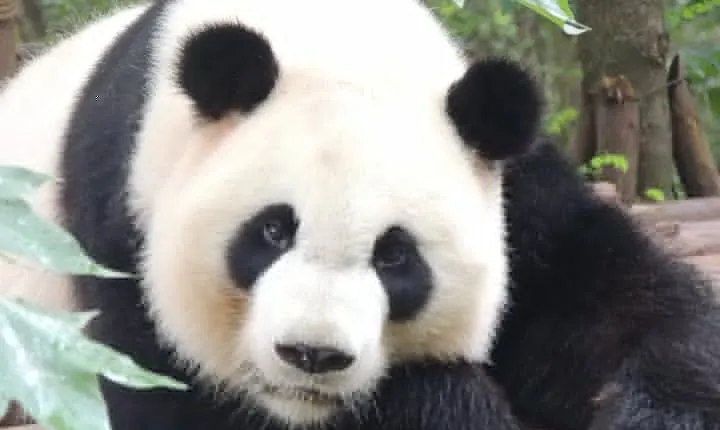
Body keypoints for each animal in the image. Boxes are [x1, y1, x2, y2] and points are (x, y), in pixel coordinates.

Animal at [1, 2, 720, 430]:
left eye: (395, 255)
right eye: (272, 230)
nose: (312, 354)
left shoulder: (516, 185)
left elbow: (614, 296)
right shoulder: (117, 226)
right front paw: (439, 402)